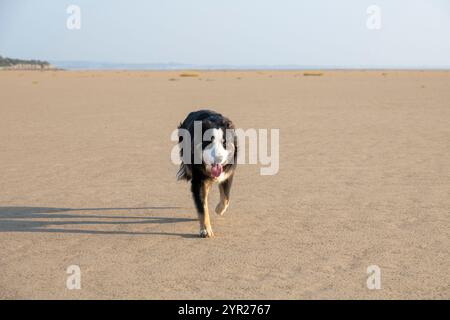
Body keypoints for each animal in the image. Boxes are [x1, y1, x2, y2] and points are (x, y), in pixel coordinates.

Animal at [177, 110, 237, 238]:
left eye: (224, 143)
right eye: (208, 142)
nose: (218, 158)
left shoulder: (227, 174)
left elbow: (226, 198)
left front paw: (219, 209)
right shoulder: (199, 180)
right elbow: (202, 207)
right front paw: (205, 230)